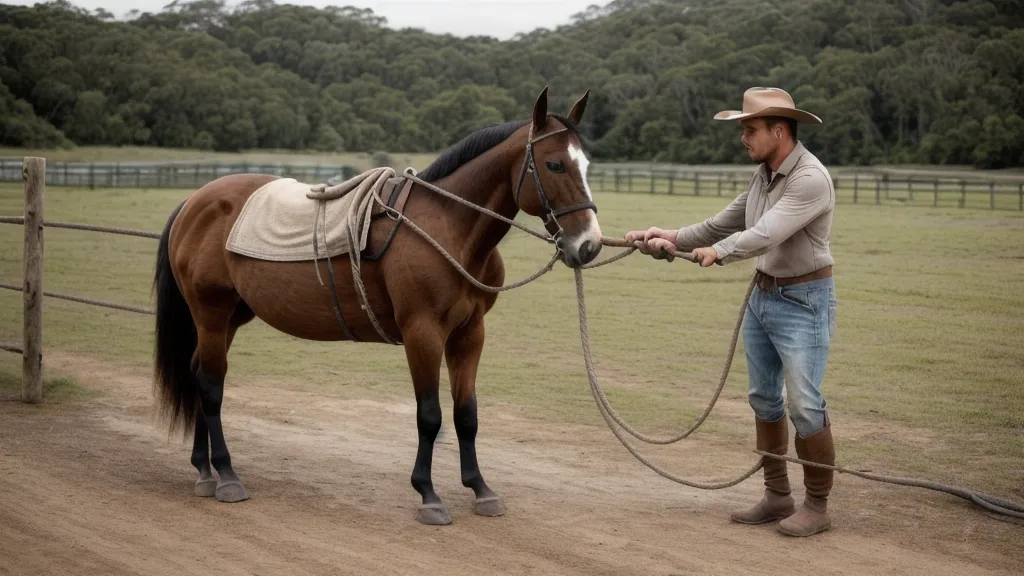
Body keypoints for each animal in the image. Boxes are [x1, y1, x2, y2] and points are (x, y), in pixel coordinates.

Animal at [151, 87, 605, 525]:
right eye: (554, 164)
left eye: (585, 164)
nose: (589, 245)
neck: (447, 226)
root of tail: (194, 202)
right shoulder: (422, 332)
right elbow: (430, 415)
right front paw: (428, 494)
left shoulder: (469, 333)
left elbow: (466, 414)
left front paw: (480, 488)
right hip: (211, 313)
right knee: (210, 385)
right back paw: (227, 474)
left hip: (229, 317)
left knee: (199, 375)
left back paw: (204, 470)